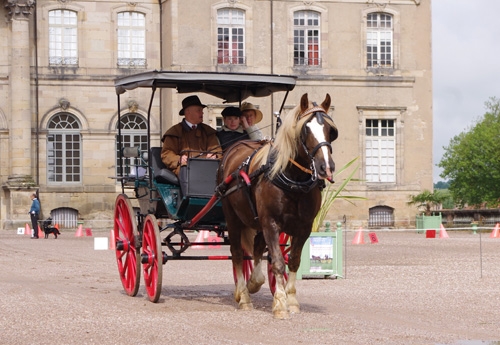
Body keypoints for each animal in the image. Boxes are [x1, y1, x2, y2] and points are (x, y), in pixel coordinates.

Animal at [217, 92, 338, 318]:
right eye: (306, 129)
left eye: (330, 130)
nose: (326, 167)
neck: (293, 180)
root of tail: (236, 147)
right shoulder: (271, 223)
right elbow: (279, 263)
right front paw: (280, 304)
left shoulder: (303, 227)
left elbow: (293, 260)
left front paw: (290, 299)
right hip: (233, 217)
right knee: (237, 253)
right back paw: (243, 295)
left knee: (256, 247)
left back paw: (254, 283)